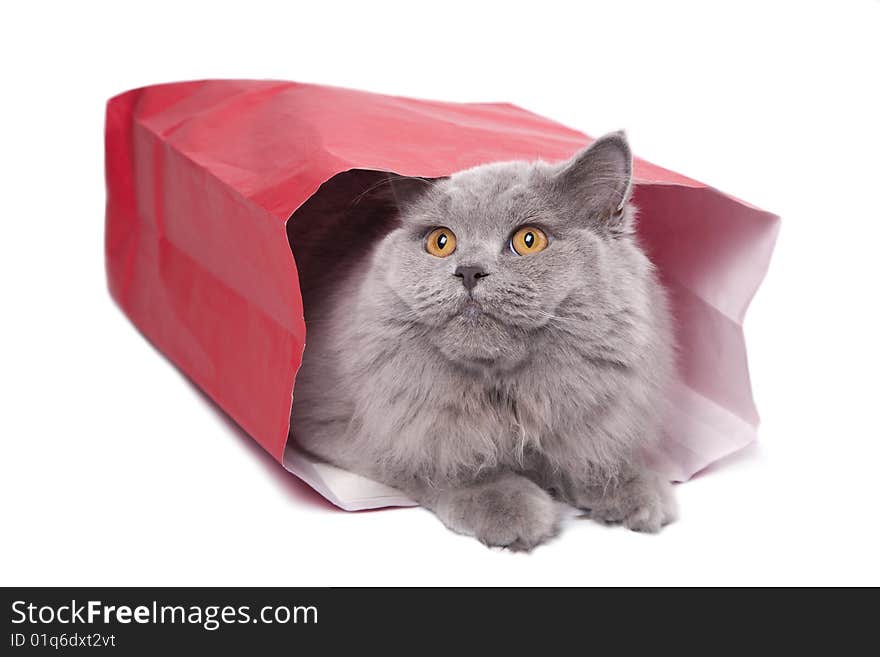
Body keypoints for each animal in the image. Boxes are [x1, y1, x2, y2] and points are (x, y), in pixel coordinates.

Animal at [292, 132, 676, 548]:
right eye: (441, 242)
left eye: (529, 240)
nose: (469, 270)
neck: (503, 395)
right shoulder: (354, 425)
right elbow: (441, 462)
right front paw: (507, 503)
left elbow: (588, 455)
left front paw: (631, 487)